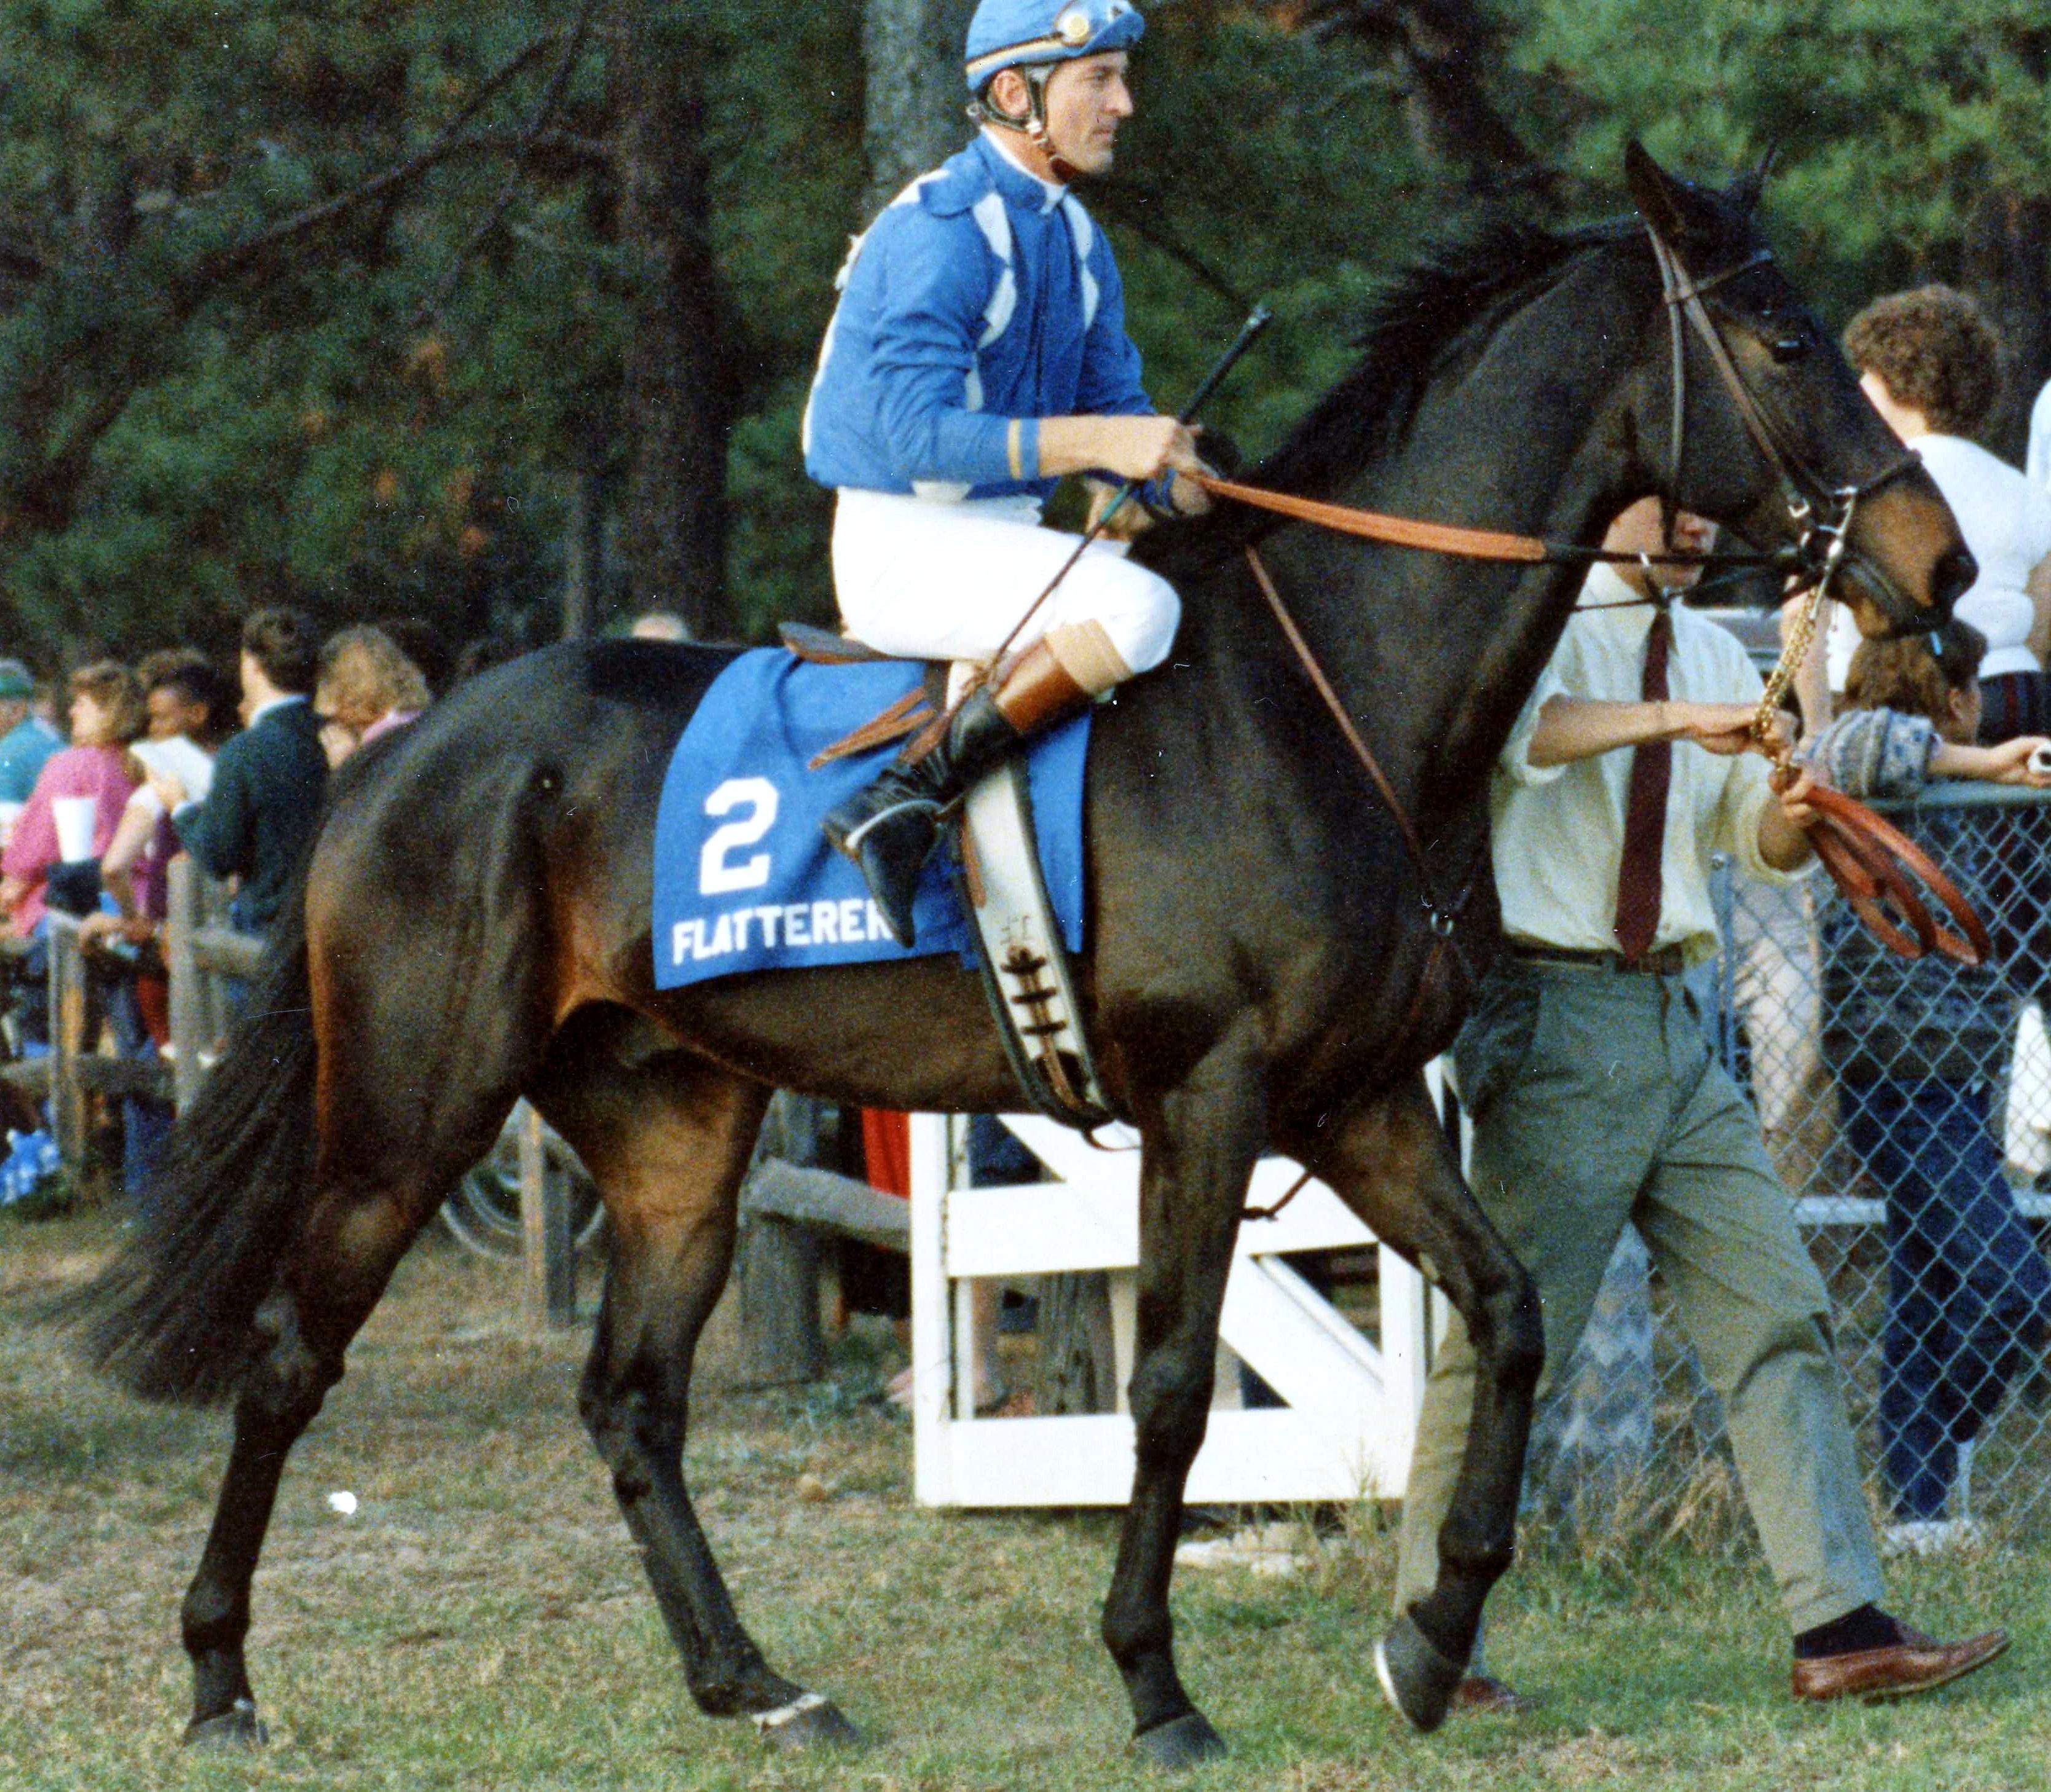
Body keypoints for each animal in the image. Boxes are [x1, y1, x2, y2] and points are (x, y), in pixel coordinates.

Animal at [76, 149, 1969, 1763]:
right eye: (1785, 339)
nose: (1941, 566)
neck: (1324, 695)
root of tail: (404, 748)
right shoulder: (1211, 1096)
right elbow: (1172, 1382)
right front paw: (1155, 1681)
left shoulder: (1356, 1102)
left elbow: (1506, 1317)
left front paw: (1433, 1638)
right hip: (412, 1109)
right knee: (288, 1358)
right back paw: (221, 1680)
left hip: (676, 1130)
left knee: (630, 1399)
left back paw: (753, 1681)